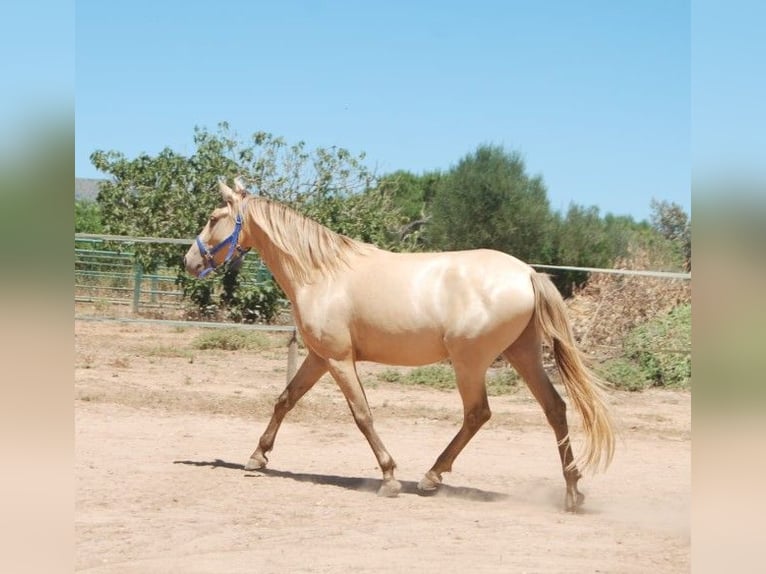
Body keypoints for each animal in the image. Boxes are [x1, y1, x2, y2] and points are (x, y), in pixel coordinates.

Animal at [183, 179, 615, 511]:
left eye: (213, 218)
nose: (189, 261)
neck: (321, 273)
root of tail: (527, 273)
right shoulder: (320, 357)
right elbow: (285, 400)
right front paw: (257, 457)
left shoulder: (339, 359)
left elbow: (362, 415)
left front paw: (389, 477)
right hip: (522, 354)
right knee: (555, 408)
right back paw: (572, 492)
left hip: (470, 362)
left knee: (478, 413)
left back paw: (431, 477)